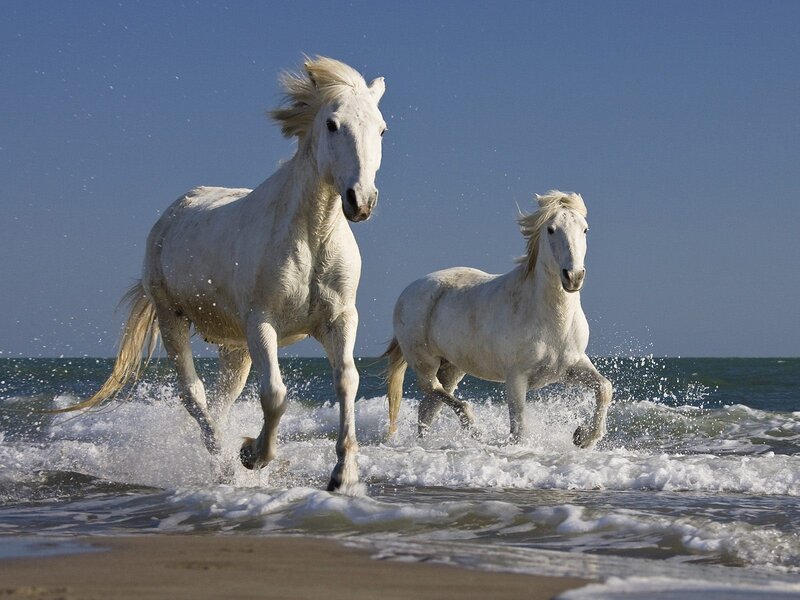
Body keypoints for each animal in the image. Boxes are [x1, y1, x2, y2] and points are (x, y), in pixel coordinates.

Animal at [54, 56, 388, 492]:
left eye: (381, 129)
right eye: (332, 124)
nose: (361, 201)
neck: (311, 235)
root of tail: (172, 213)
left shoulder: (340, 319)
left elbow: (347, 380)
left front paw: (342, 475)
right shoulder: (261, 322)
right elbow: (275, 394)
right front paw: (252, 455)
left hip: (235, 348)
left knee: (219, 402)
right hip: (173, 320)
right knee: (194, 396)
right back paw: (226, 464)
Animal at [384, 191, 612, 448]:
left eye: (585, 229)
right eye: (551, 229)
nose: (573, 276)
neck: (552, 322)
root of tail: (408, 291)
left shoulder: (571, 367)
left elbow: (604, 387)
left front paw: (583, 437)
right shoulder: (516, 378)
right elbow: (519, 427)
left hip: (451, 368)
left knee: (428, 407)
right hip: (425, 362)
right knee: (432, 389)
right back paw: (472, 427)